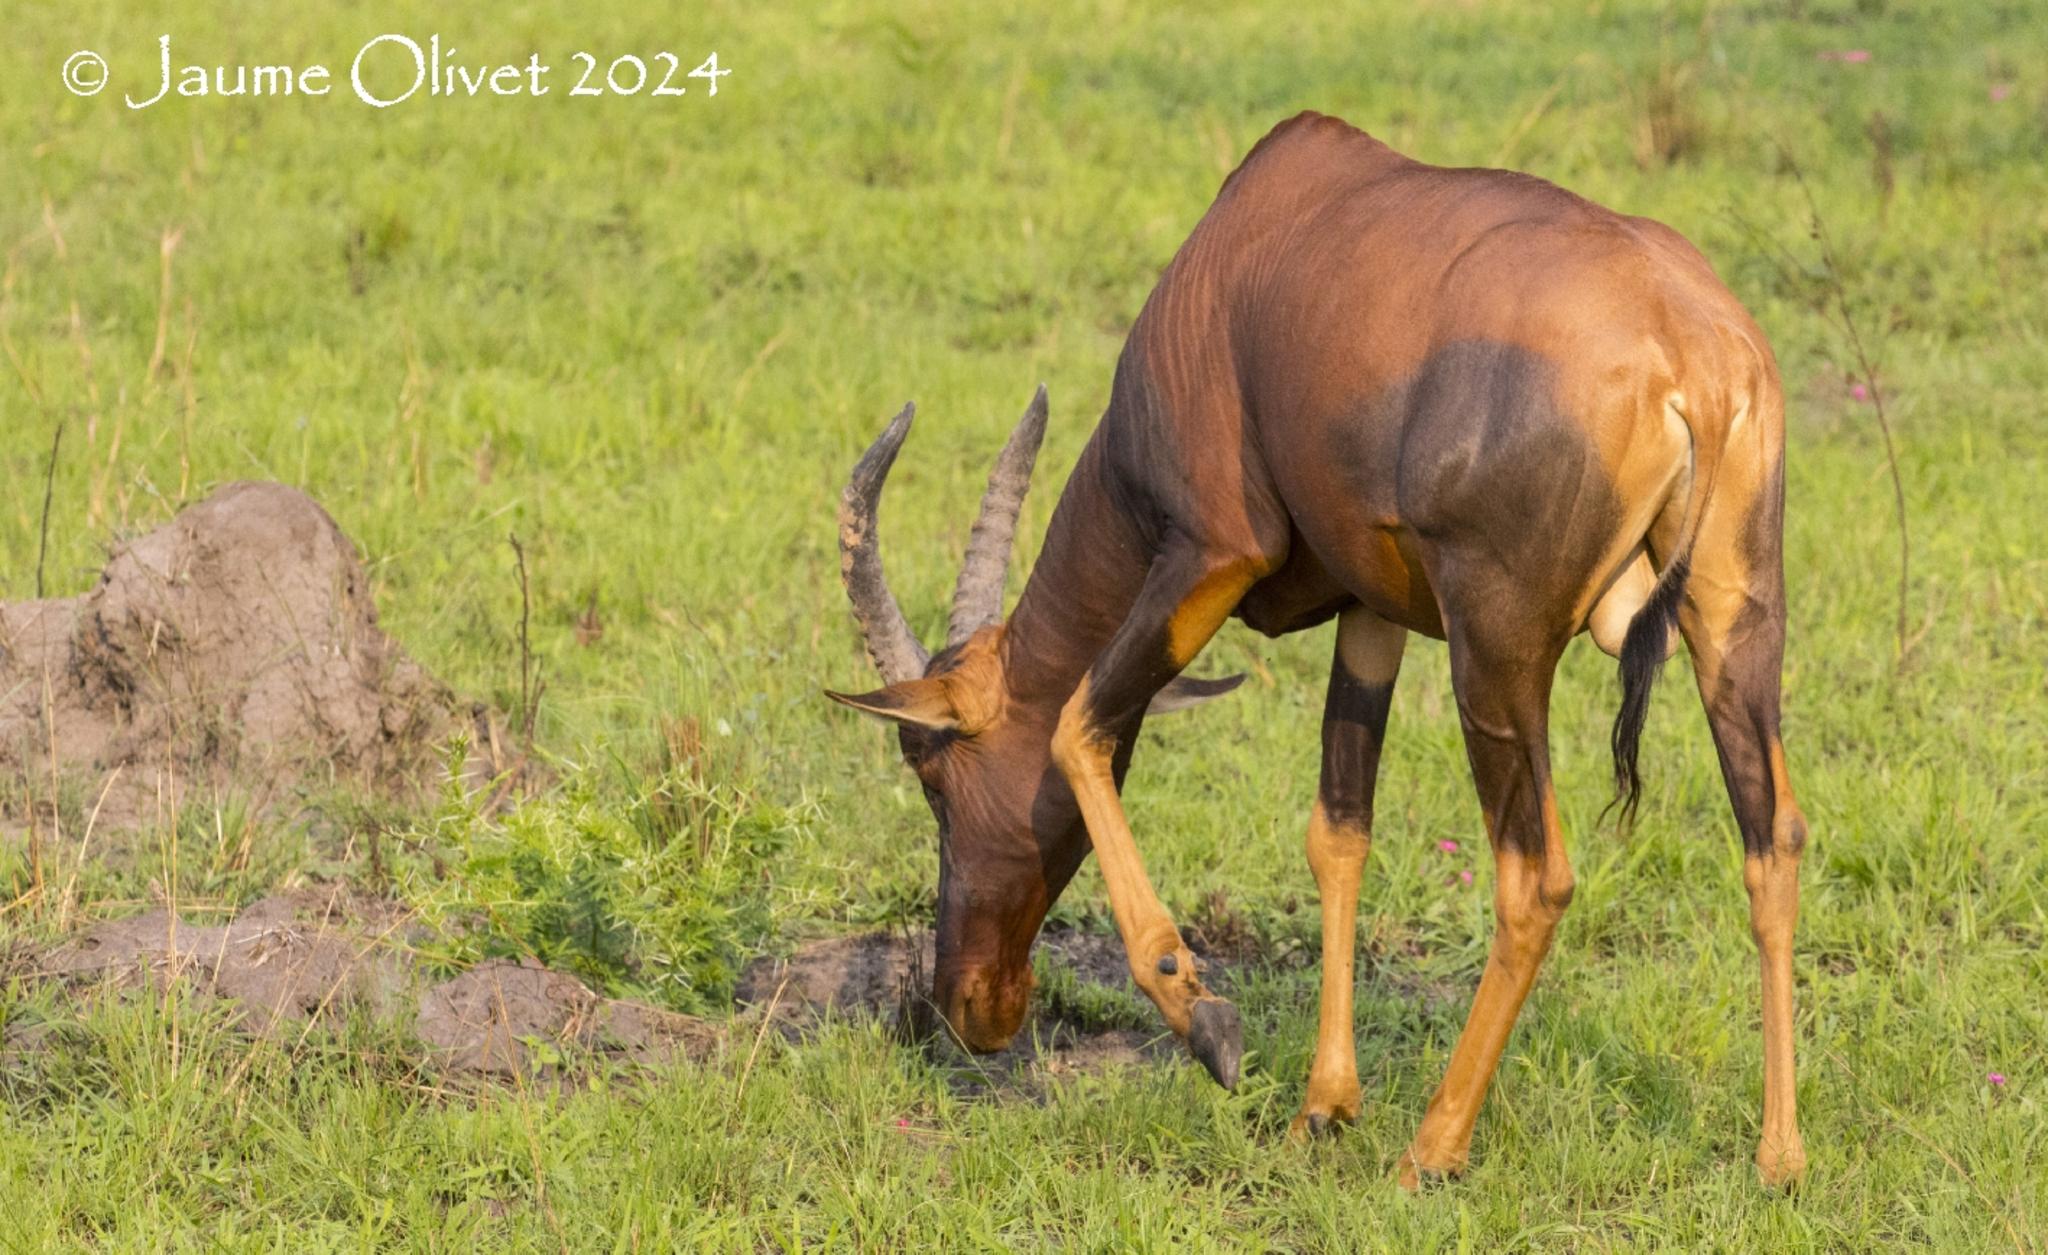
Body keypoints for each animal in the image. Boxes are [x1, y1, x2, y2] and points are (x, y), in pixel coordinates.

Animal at [831, 110, 1810, 1187]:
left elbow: (1078, 726)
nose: (968, 1007)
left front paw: (1206, 1021)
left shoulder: (1213, 551)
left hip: (1495, 650)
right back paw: (1779, 1157)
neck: (1238, 252)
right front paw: (1321, 1108)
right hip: (1735, 618)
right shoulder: (1371, 609)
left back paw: (1430, 1150)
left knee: (1536, 875)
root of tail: (1690, 354)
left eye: (932, 773)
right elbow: (1338, 828)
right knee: (1772, 836)